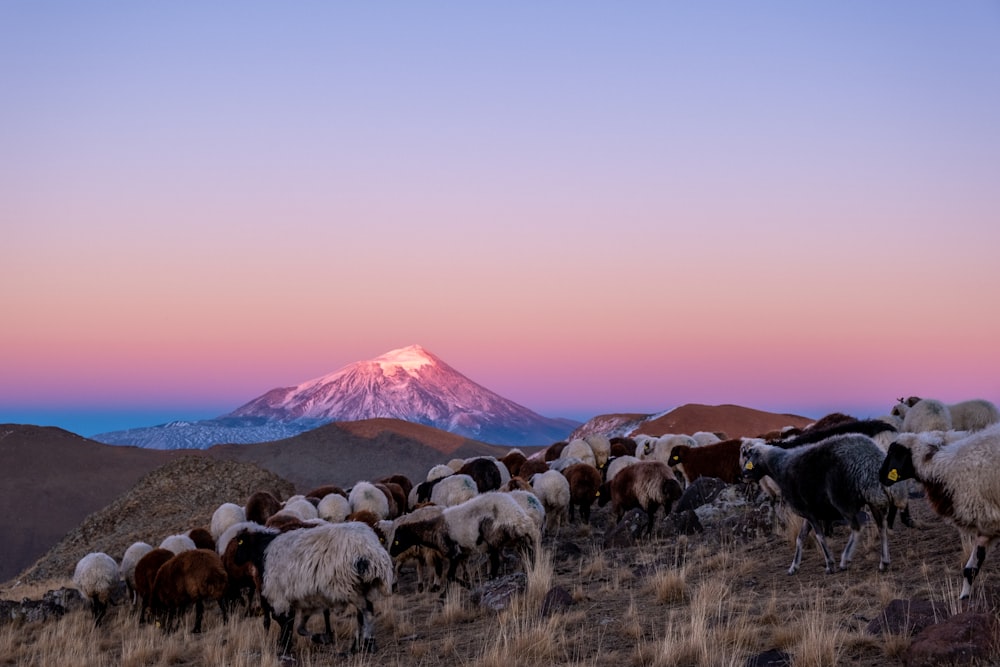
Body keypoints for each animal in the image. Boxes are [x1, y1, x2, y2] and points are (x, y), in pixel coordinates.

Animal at [232, 520, 392, 656]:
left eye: (240, 543)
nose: (235, 559)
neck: (263, 549)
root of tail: (370, 553)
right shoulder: (301, 598)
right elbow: (296, 625)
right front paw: (317, 638)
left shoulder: (279, 595)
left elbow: (284, 622)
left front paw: (284, 646)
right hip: (360, 587)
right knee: (364, 613)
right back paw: (360, 646)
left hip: (349, 587)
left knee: (366, 612)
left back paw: (365, 644)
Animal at [744, 436, 892, 576]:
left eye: (750, 457)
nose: (744, 474)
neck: (779, 468)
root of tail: (870, 460)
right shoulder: (809, 513)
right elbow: (800, 538)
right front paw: (793, 567)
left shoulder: (809, 513)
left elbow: (819, 536)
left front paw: (830, 564)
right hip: (872, 498)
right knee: (882, 526)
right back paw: (884, 562)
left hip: (843, 501)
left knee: (857, 527)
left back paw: (845, 560)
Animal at [880, 426, 1000, 604]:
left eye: (894, 453)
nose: (880, 475)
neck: (944, 471)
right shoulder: (987, 525)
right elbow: (970, 568)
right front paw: (964, 597)